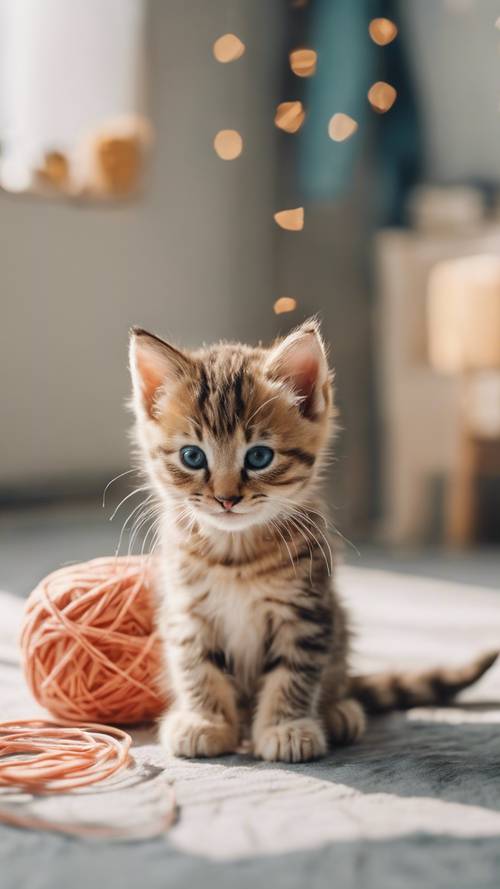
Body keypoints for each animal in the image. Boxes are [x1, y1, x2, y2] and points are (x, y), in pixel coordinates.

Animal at [129, 320, 496, 764]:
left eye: (258, 457)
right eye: (192, 457)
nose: (226, 498)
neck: (235, 555)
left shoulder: (307, 609)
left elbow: (294, 673)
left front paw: (286, 727)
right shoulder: (187, 611)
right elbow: (197, 666)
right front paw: (206, 721)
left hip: (339, 624)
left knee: (335, 677)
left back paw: (337, 711)